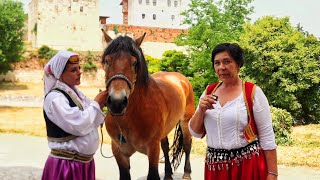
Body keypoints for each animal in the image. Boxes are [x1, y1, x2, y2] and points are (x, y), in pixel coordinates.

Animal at [100, 29, 195, 180]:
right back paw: (168, 174)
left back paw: (186, 173)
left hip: (185, 121)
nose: (117, 102)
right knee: (166, 146)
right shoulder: (119, 151)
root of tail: (182, 79)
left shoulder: (153, 150)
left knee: (187, 144)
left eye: (134, 63)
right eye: (107, 61)